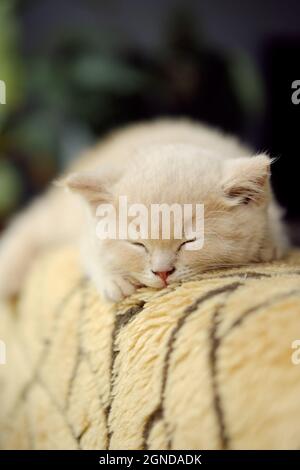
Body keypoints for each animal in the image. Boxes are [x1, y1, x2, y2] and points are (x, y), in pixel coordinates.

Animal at [0, 117, 288, 302]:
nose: (162, 273)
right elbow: (91, 250)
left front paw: (269, 244)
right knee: (33, 224)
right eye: (137, 244)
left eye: (189, 242)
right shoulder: (87, 230)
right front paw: (112, 280)